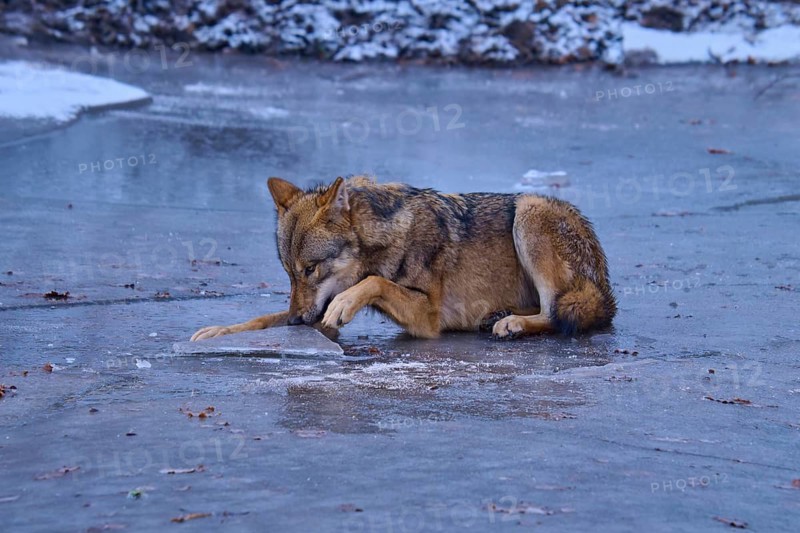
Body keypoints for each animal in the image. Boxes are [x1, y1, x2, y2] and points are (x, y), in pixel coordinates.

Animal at [191, 175, 616, 341]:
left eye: (311, 269)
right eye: (290, 275)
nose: (298, 322)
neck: (386, 240)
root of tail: (605, 288)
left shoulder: (427, 317)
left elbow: (374, 282)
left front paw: (347, 301)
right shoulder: (314, 313)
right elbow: (263, 319)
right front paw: (217, 331)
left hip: (529, 211)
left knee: (557, 312)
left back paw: (511, 323)